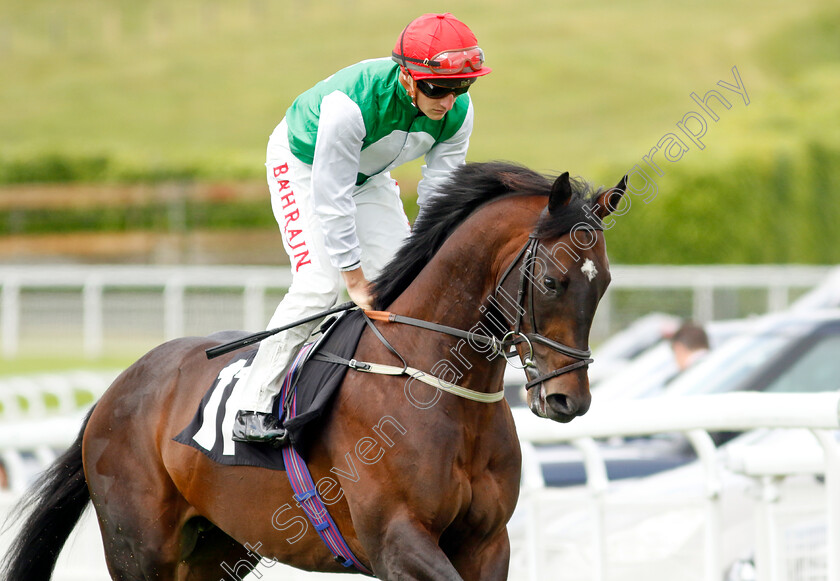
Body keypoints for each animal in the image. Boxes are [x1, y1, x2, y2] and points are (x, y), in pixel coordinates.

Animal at [3, 162, 624, 580]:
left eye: (605, 285)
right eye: (552, 282)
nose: (569, 400)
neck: (437, 386)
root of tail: (117, 388)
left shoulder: (488, 542)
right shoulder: (397, 540)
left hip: (218, 545)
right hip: (140, 549)